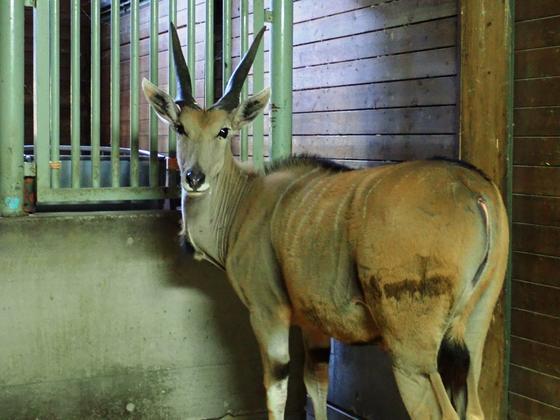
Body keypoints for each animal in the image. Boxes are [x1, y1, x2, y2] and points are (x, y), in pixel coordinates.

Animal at [143, 24, 508, 420]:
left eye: (223, 131)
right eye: (180, 127)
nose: (194, 178)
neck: (246, 201)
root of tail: (473, 189)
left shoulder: (267, 312)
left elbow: (277, 389)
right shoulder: (315, 326)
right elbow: (316, 384)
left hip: (411, 353)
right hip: (472, 335)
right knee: (474, 407)